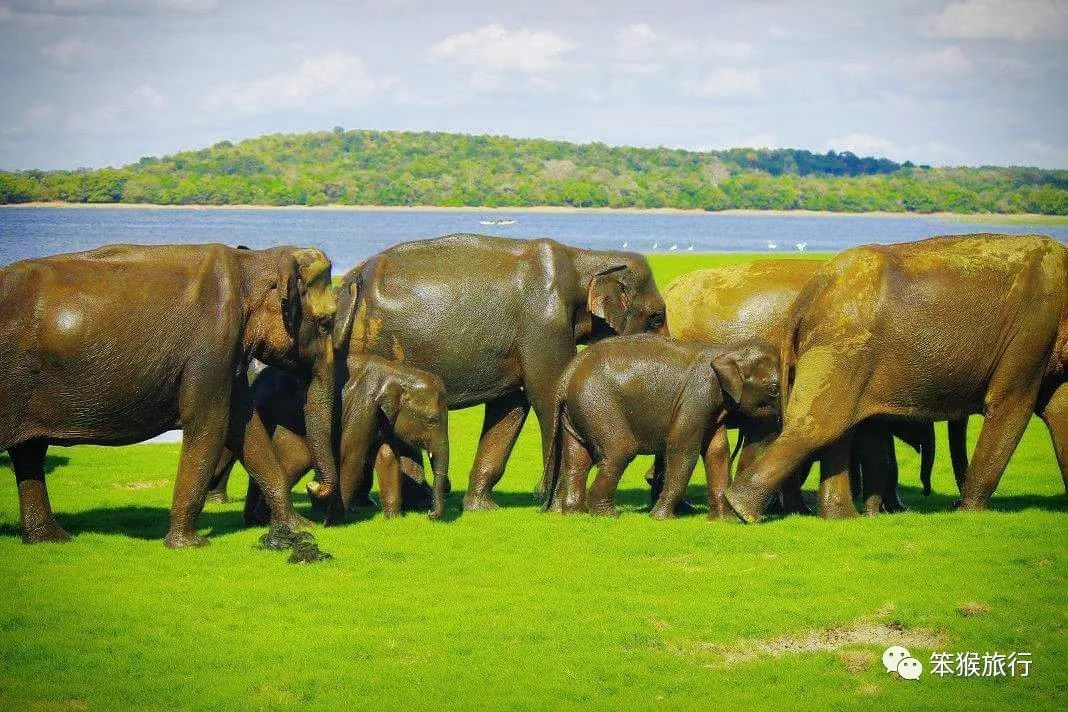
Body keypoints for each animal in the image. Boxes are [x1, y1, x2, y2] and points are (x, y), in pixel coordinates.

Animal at [0, 243, 337, 546]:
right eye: (325, 323)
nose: (314, 487)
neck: (252, 262)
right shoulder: (212, 346)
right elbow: (211, 426)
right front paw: (190, 544)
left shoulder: (229, 358)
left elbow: (245, 427)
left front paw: (300, 527)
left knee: (29, 451)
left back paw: (50, 539)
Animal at [333, 233, 666, 512]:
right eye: (657, 318)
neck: (584, 258)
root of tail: (352, 279)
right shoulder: (544, 323)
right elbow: (547, 396)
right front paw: (553, 507)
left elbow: (511, 405)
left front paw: (482, 508)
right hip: (378, 341)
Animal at [546, 337, 781, 520]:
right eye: (774, 389)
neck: (726, 349)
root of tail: (567, 374)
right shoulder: (697, 395)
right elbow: (683, 450)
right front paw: (661, 518)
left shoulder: (713, 407)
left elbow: (718, 452)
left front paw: (724, 521)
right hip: (598, 405)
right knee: (619, 451)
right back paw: (607, 515)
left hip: (577, 412)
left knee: (577, 460)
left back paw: (575, 514)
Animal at [726, 234, 1068, 523]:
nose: (953, 503)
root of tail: (809, 293)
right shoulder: (1033, 329)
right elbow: (1012, 405)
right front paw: (970, 513)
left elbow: (1059, 411)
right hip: (842, 346)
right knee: (819, 426)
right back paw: (743, 510)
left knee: (837, 428)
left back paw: (842, 518)